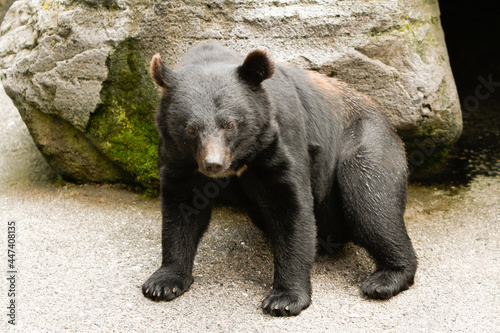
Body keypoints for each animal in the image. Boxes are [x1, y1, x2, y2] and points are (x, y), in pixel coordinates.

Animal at [142, 42, 418, 316]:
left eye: (230, 124)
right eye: (191, 128)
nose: (213, 164)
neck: (243, 158)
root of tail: (387, 120)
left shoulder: (280, 138)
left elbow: (290, 205)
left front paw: (284, 299)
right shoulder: (178, 156)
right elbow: (182, 206)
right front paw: (162, 283)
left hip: (366, 146)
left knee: (371, 207)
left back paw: (386, 278)